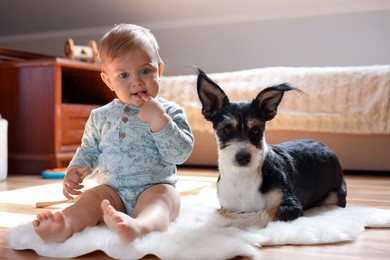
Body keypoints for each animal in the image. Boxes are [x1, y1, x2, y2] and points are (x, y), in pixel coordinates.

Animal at [197, 69, 346, 230]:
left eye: (256, 130)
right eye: (226, 129)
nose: (243, 157)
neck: (243, 177)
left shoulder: (293, 206)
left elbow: (259, 214)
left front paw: (228, 222)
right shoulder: (226, 204)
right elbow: (224, 211)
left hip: (335, 195)